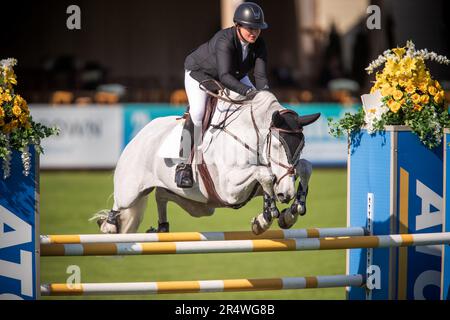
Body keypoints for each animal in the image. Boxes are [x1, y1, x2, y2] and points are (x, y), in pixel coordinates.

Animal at [95, 90, 320, 235]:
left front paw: (288, 211)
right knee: (119, 205)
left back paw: (162, 227)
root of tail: (139, 136)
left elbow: (303, 167)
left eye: (302, 146)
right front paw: (269, 214)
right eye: (276, 145)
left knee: (162, 195)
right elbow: (265, 174)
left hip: (200, 205)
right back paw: (109, 226)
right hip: (130, 190)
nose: (286, 194)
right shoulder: (229, 190)